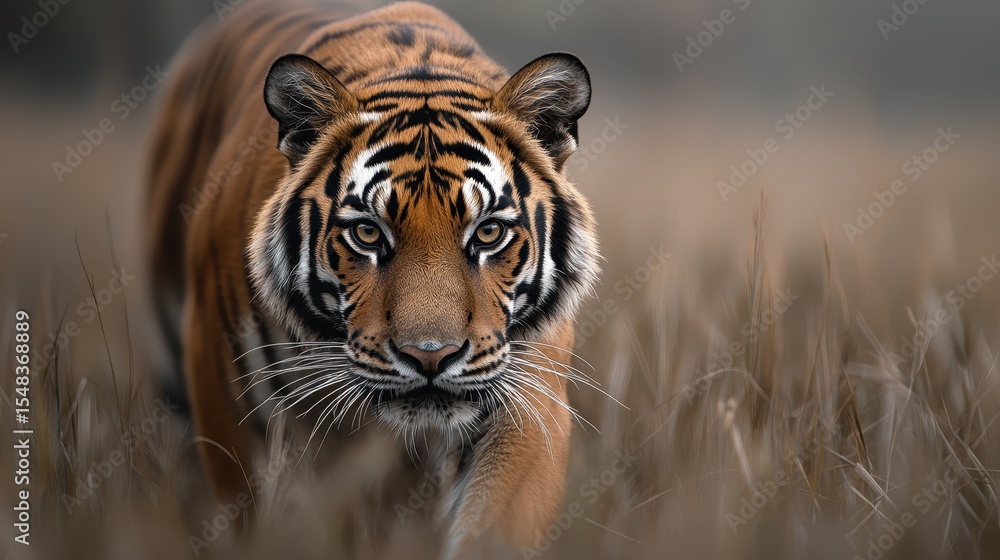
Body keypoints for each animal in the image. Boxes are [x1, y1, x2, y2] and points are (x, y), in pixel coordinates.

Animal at [146, 1, 599, 554]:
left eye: (488, 232)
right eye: (367, 232)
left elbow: (492, 525)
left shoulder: (528, 397)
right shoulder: (226, 394)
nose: (431, 357)